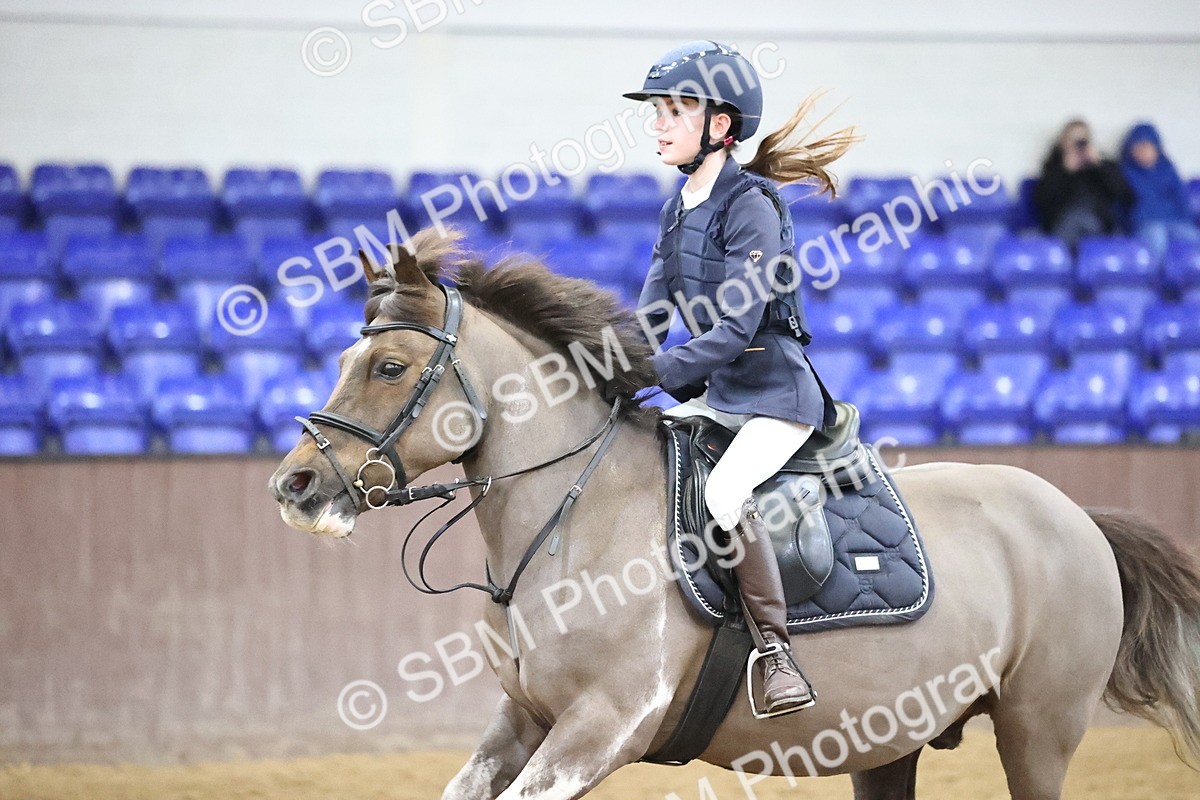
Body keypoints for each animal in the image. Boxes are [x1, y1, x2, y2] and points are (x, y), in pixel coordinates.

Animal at [269, 228, 1200, 800]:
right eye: (347, 357)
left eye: (389, 367)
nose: (296, 486)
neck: (575, 519)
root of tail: (1075, 516)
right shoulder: (524, 718)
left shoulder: (600, 726)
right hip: (893, 742)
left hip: (1038, 729)